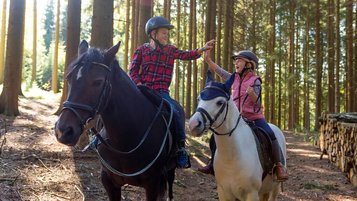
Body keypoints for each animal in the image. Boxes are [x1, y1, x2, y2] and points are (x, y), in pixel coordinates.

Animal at [54, 40, 179, 200]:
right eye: (69, 77)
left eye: (98, 81)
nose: (62, 131)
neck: (125, 141)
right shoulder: (109, 181)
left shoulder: (153, 184)